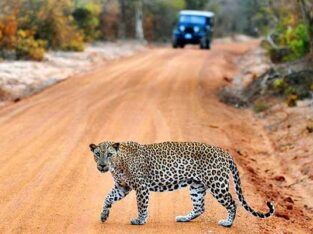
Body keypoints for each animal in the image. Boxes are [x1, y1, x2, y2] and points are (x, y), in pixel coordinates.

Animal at [88, 140, 272, 228]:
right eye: (97, 154)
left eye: (109, 154)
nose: (102, 165)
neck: (118, 164)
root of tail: (224, 152)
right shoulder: (122, 187)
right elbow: (107, 198)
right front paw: (103, 215)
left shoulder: (141, 187)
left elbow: (142, 205)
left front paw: (140, 220)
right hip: (196, 185)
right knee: (200, 207)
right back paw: (184, 218)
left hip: (217, 183)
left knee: (233, 203)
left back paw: (227, 223)